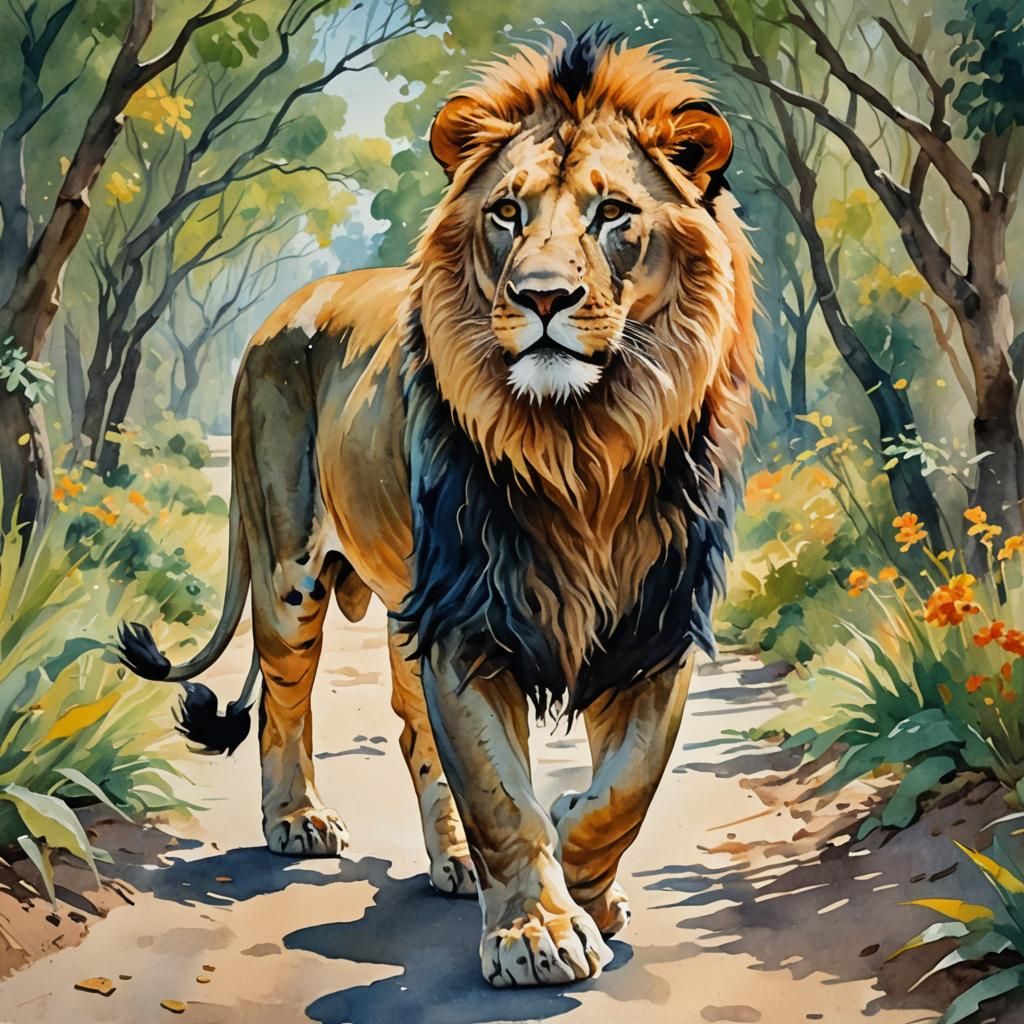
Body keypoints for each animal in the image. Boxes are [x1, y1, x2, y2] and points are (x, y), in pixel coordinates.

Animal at [119, 25, 757, 987]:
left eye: (613, 213)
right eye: (508, 213)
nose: (541, 296)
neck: (581, 447)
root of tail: (278, 315)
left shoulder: (656, 623)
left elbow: (624, 788)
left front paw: (587, 884)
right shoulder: (467, 620)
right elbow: (500, 792)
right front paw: (538, 931)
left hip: (402, 603)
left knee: (414, 733)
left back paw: (455, 862)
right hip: (289, 572)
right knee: (283, 701)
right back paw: (298, 821)